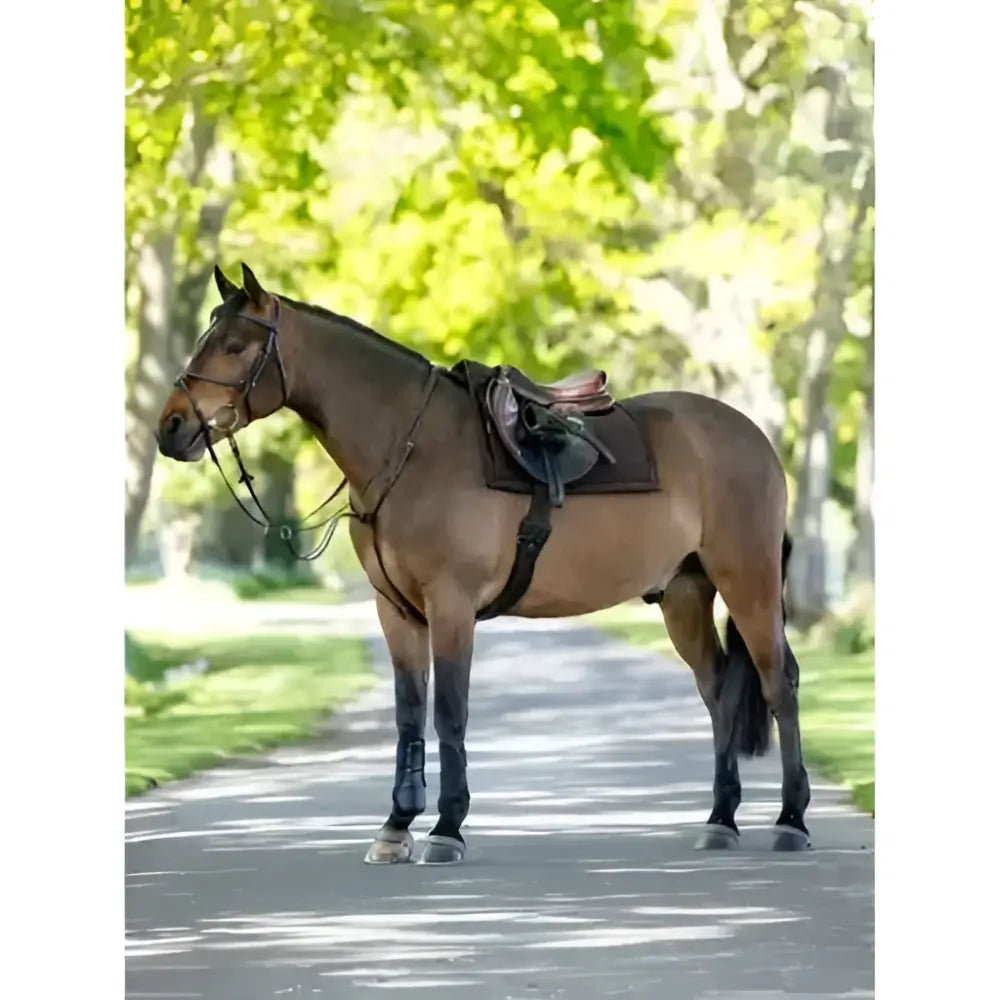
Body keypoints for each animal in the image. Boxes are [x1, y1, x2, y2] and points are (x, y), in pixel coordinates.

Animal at [155, 262, 811, 865]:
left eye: (235, 345)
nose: (171, 427)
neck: (414, 448)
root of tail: (751, 437)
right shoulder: (397, 612)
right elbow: (409, 713)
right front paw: (396, 827)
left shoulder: (451, 605)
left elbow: (450, 712)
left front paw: (446, 827)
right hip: (684, 595)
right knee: (718, 689)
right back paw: (721, 819)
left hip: (747, 583)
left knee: (778, 682)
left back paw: (790, 819)